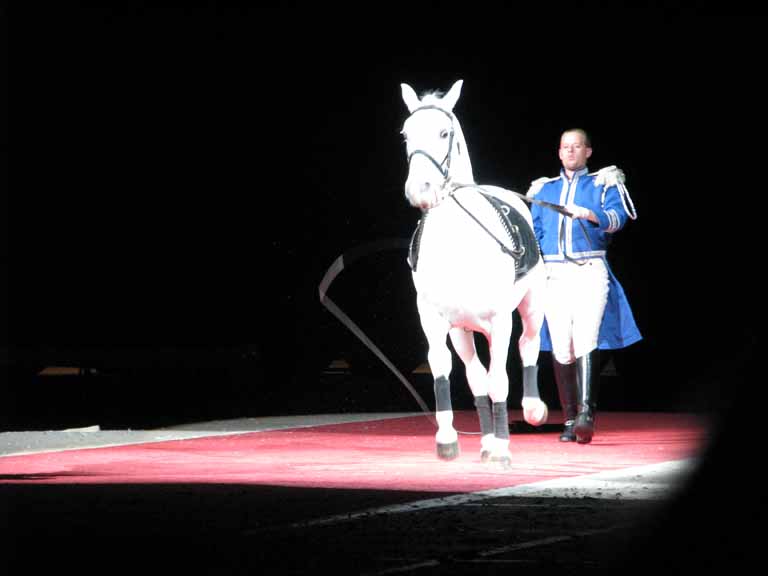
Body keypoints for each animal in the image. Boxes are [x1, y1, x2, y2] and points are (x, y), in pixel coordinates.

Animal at [400, 79, 548, 466]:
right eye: (406, 134)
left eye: (444, 132)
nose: (420, 189)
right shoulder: (434, 318)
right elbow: (442, 369)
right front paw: (448, 439)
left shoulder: (500, 320)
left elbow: (500, 379)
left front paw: (502, 448)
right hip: (463, 331)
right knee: (476, 376)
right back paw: (485, 440)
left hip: (531, 306)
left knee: (528, 345)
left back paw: (531, 410)